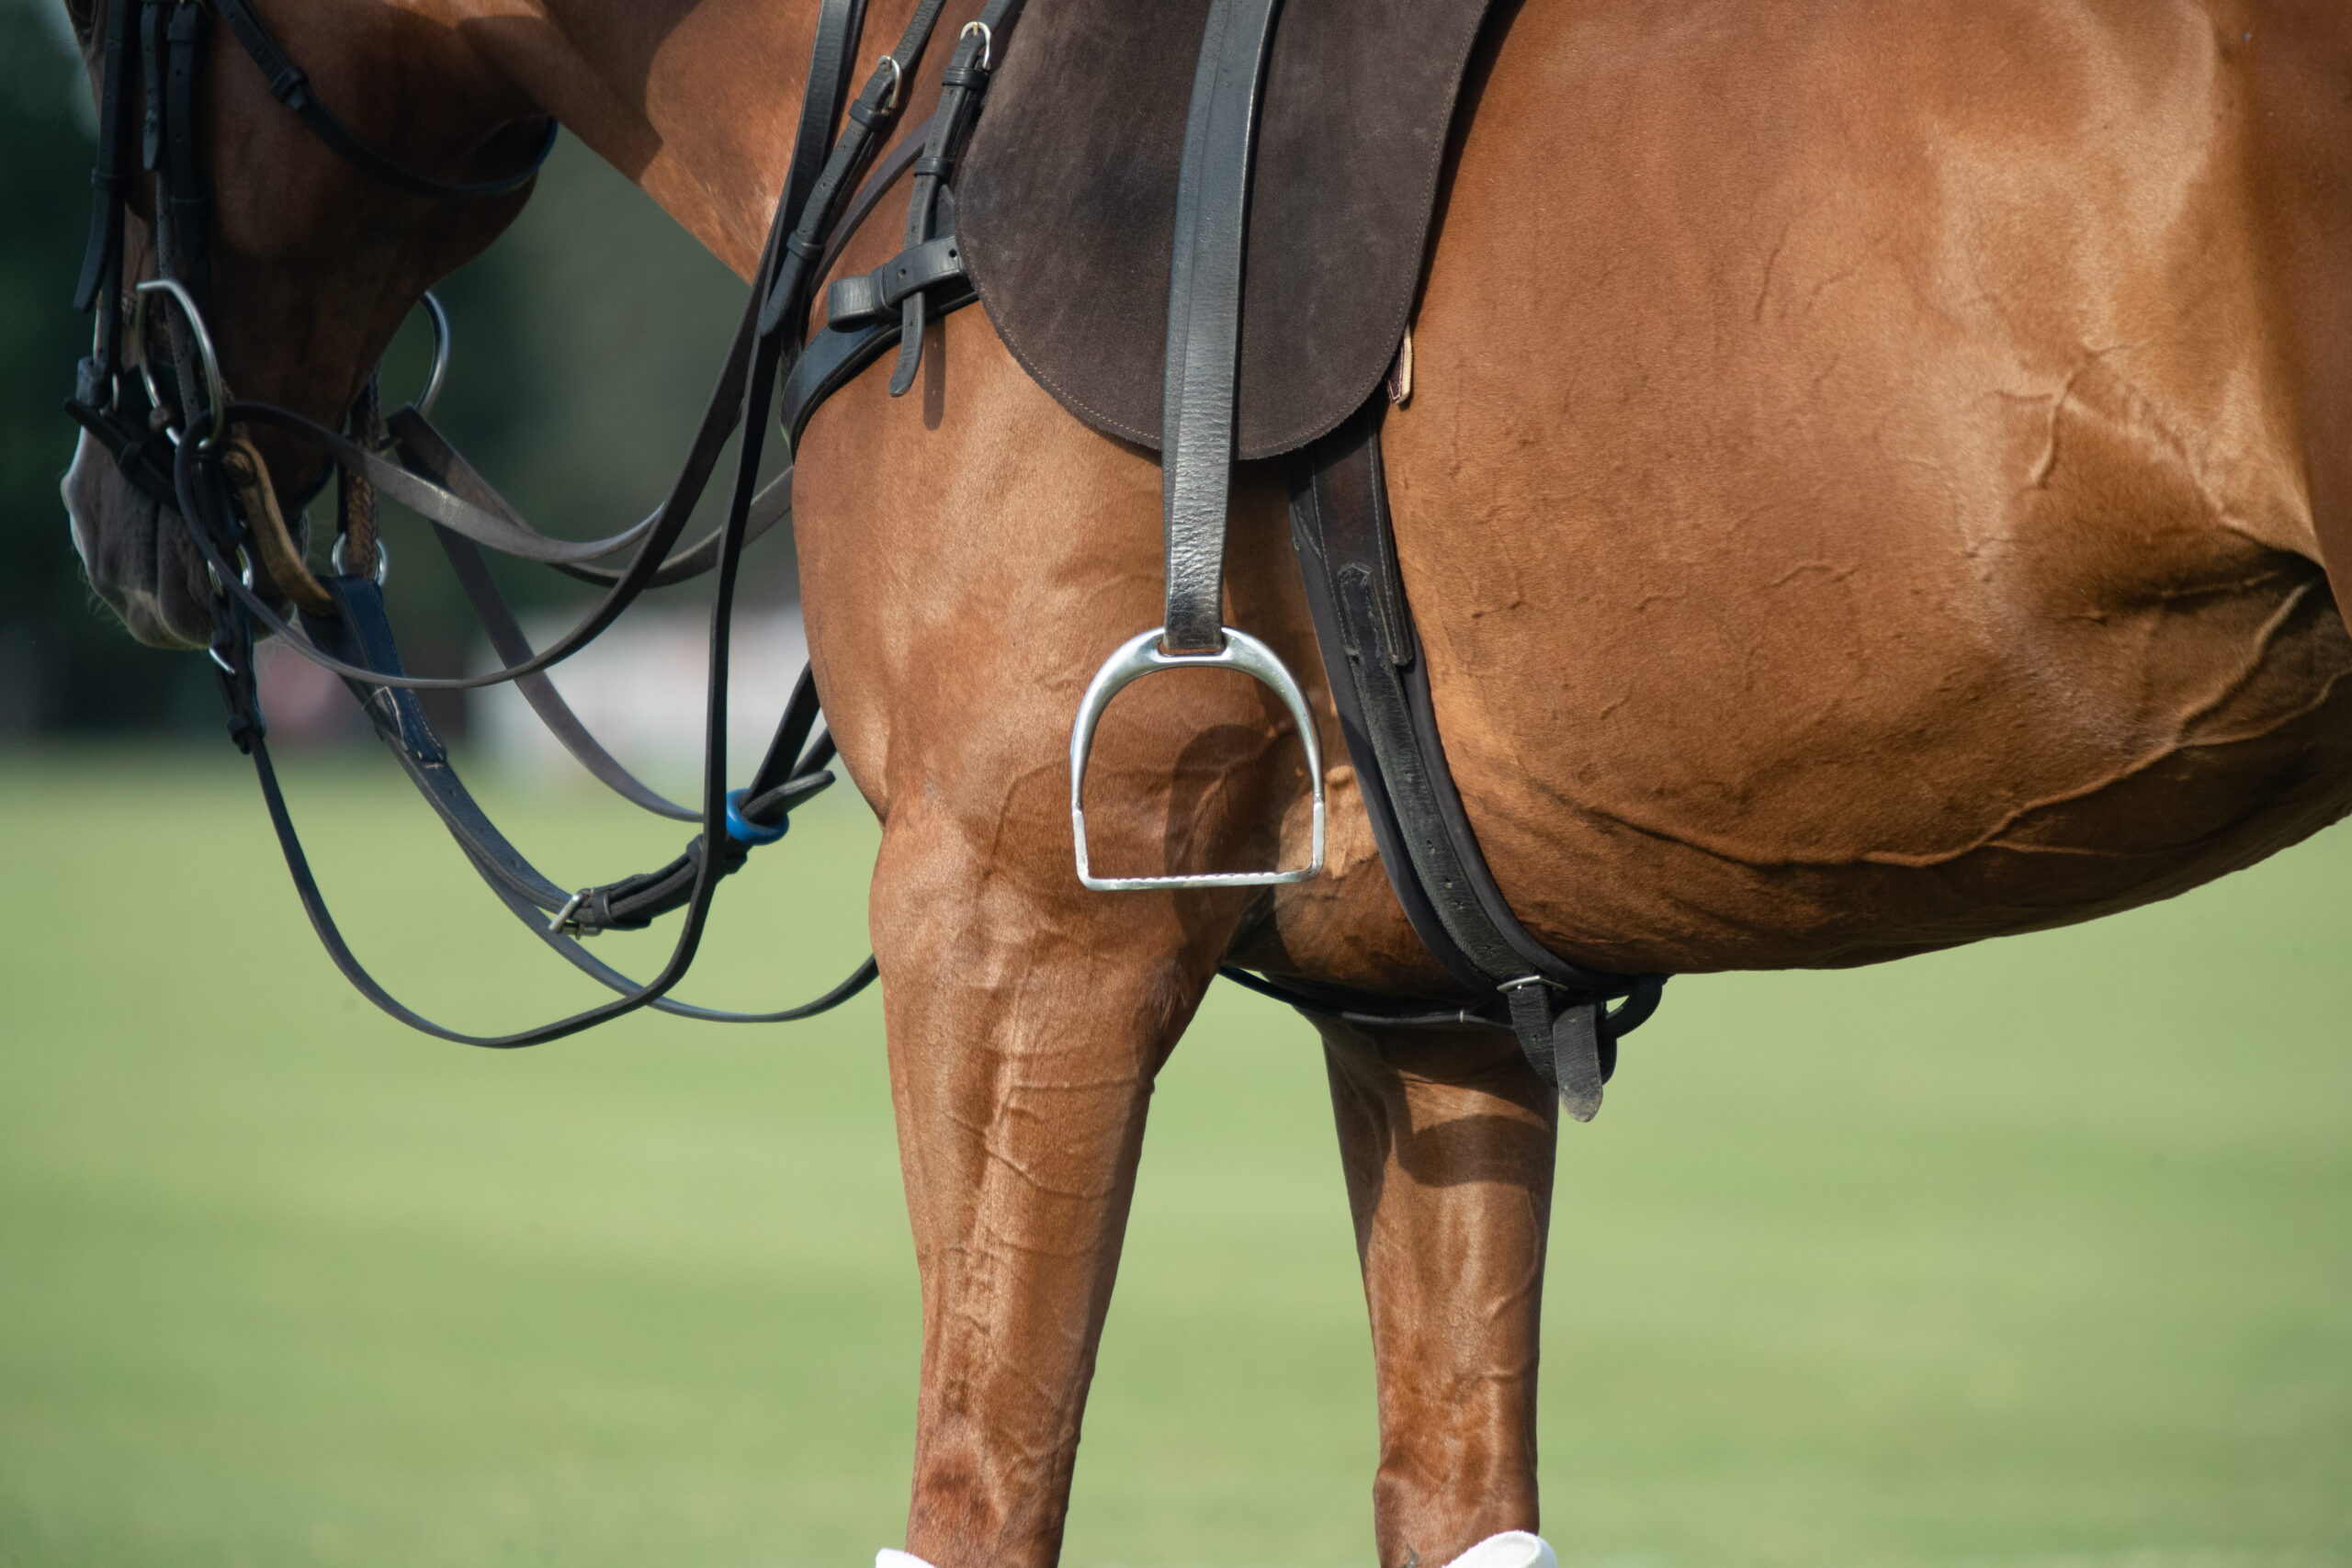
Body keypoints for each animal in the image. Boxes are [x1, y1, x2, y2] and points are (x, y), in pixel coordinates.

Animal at [55, 2, 2352, 1565]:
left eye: (88, 33)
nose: (106, 499)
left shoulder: (1007, 918)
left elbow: (979, 1494)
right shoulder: (1433, 993)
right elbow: (1456, 1486)